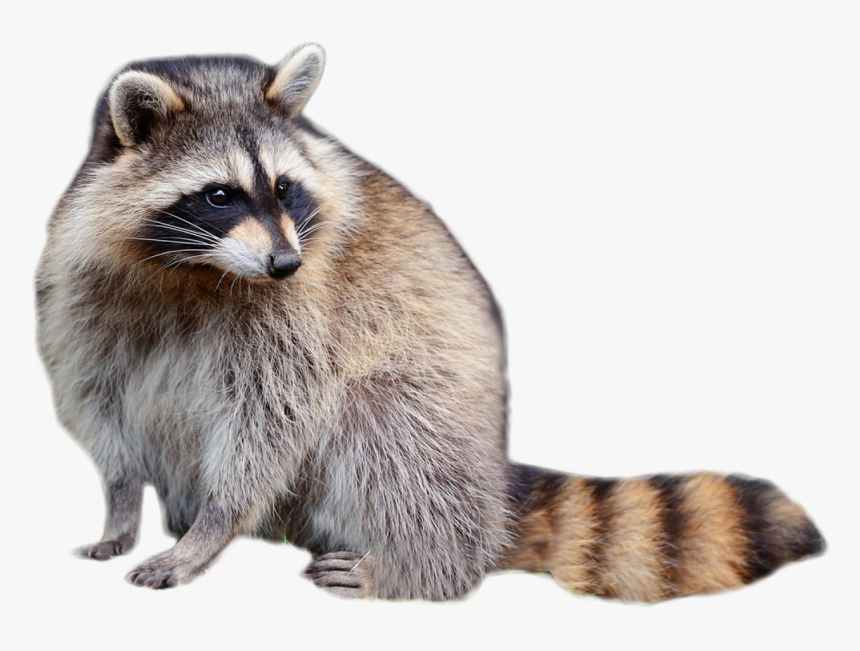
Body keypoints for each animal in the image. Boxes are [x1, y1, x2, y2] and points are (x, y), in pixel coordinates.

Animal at [36, 43, 825, 600]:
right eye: (219, 194)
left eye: (285, 188)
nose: (285, 262)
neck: (197, 269)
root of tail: (495, 493)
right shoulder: (83, 289)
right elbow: (99, 401)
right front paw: (120, 507)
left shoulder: (299, 312)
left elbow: (271, 420)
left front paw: (212, 528)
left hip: (440, 430)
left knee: (384, 428)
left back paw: (414, 567)